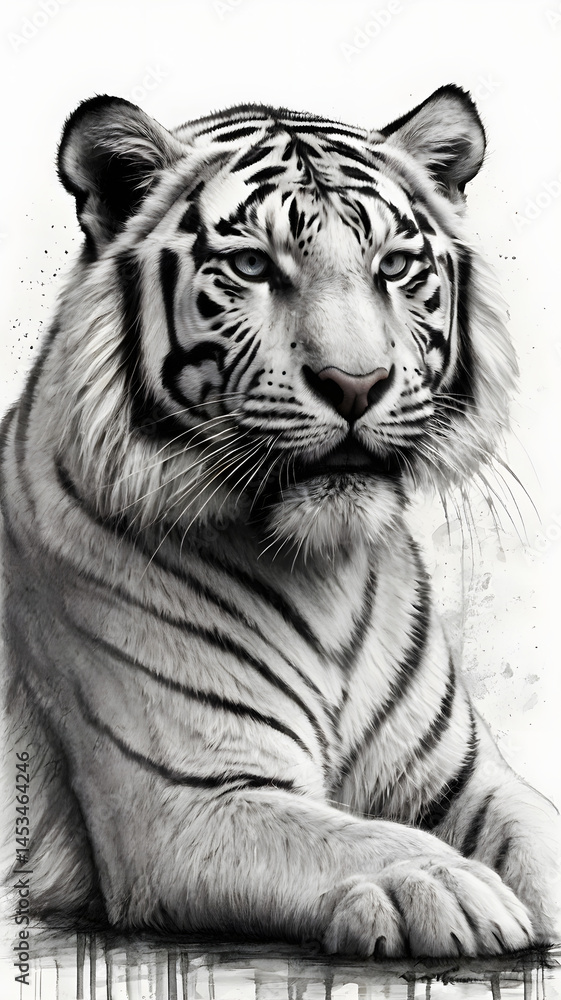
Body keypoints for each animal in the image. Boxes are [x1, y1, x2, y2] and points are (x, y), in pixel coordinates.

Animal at [1, 84, 558, 959]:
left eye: (393, 266)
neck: (324, 569)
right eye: (252, 266)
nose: (355, 382)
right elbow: (356, 835)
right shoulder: (192, 798)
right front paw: (448, 883)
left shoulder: (466, 778)